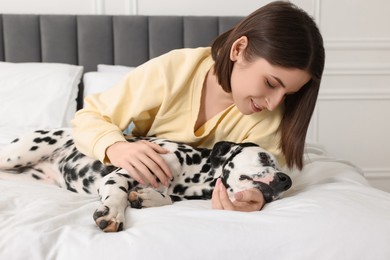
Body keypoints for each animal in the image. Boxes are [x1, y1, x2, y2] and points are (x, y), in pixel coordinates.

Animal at [0, 128, 290, 232]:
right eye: (264, 157)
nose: (286, 181)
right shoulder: (120, 175)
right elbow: (117, 194)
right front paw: (114, 213)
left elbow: (166, 199)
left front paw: (146, 197)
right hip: (19, 153)